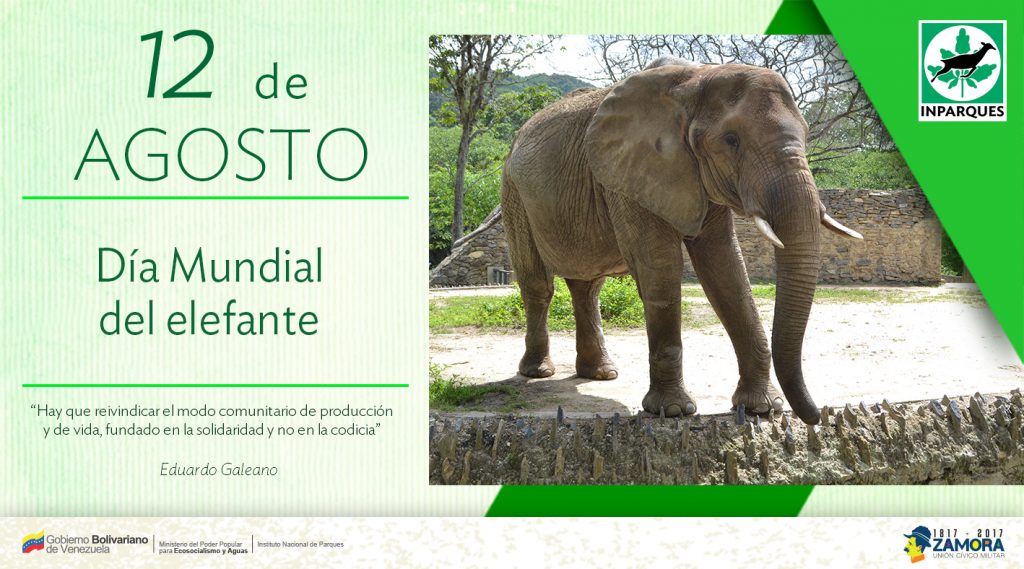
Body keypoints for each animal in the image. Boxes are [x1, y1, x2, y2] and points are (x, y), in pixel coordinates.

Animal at [500, 57, 863, 425]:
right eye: (731, 140)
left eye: (805, 133)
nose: (818, 415)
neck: (699, 77)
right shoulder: (630, 172)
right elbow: (660, 267)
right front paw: (673, 410)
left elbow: (726, 269)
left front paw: (761, 408)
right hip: (513, 192)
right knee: (538, 285)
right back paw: (538, 372)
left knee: (587, 287)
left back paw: (601, 374)